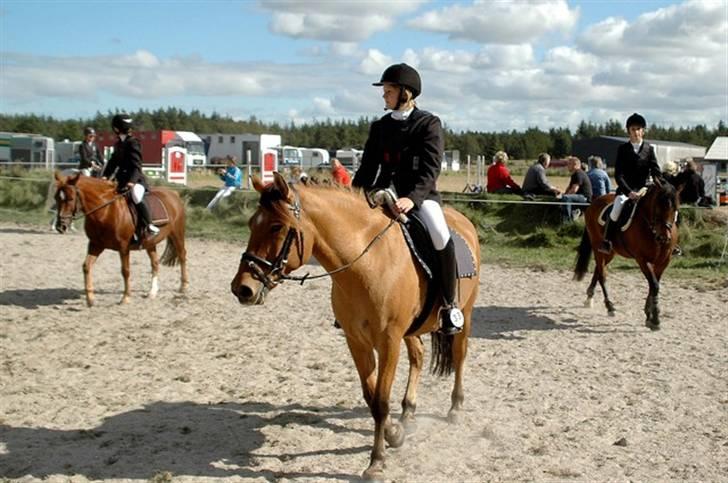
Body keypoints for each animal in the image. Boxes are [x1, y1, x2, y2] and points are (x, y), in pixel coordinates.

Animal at [54, 172, 188, 306]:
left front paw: (126, 297)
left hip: (177, 234)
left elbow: (125, 270)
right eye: (56, 198)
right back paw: (152, 292)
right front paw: (90, 299)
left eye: (70, 199)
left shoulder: (123, 247)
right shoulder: (95, 245)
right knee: (155, 263)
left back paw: (183, 286)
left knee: (182, 255)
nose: (61, 226)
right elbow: (86, 266)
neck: (105, 212)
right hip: (150, 242)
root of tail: (173, 194)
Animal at [230, 173, 480, 480]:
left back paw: (455, 407)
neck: (367, 263)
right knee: (418, 355)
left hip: (465, 313)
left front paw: (377, 462)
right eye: (252, 224)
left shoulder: (388, 341)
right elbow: (371, 398)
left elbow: (381, 400)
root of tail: (463, 220)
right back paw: (408, 412)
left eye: (277, 226)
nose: (242, 289)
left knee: (459, 354)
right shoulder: (356, 341)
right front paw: (394, 434)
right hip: (410, 330)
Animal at [576, 180, 680, 330]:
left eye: (675, 208)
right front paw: (655, 319)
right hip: (597, 247)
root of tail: (594, 202)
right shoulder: (642, 260)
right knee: (602, 275)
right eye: (658, 207)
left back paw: (589, 298)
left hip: (610, 252)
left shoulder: (664, 261)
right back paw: (609, 306)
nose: (663, 238)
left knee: (598, 270)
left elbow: (654, 285)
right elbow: (654, 285)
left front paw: (648, 315)